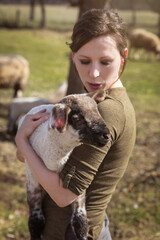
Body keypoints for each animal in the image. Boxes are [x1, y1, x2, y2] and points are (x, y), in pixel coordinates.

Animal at [18, 90, 109, 240]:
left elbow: (80, 221)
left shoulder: (76, 192)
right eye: (77, 118)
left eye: (98, 111)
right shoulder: (32, 179)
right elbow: (36, 220)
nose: (106, 135)